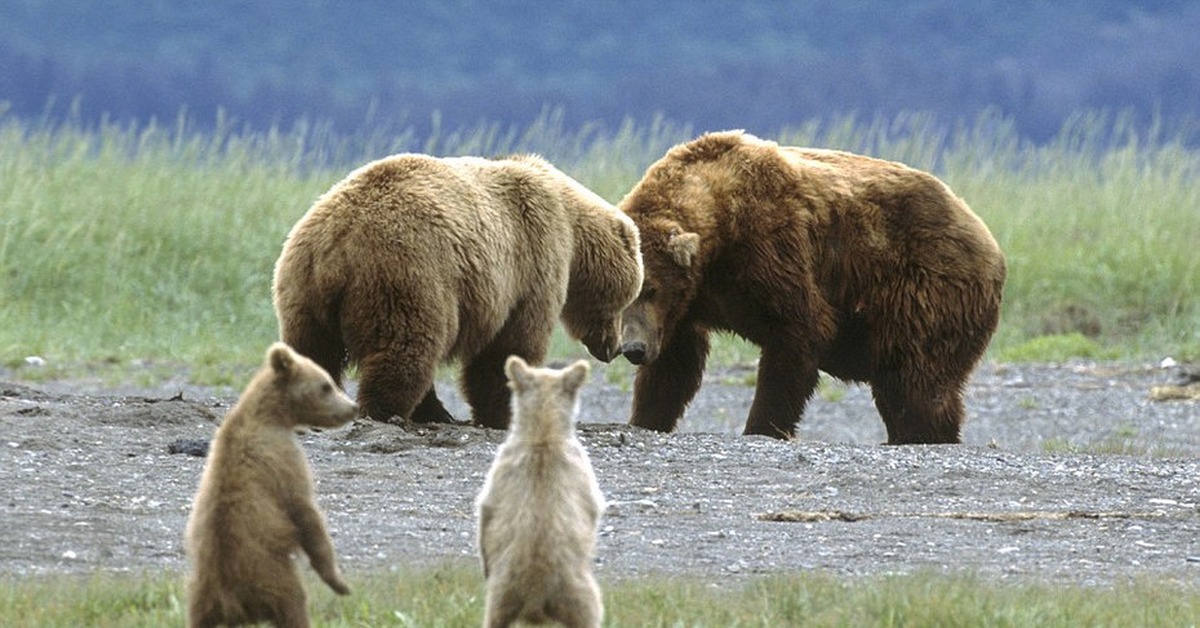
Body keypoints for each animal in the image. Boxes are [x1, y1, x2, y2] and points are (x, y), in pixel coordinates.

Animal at [184, 343, 355, 628]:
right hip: (273, 576)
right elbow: (305, 511)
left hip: (200, 594)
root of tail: (228, 600)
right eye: (326, 385)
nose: (353, 407)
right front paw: (339, 582)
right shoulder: (282, 456)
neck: (270, 416)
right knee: (295, 605)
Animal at [273, 153, 643, 429]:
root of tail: (337, 240)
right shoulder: (533, 260)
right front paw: (503, 412)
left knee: (311, 348)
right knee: (407, 344)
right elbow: (509, 346)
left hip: (300, 288)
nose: (617, 348)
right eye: (628, 300)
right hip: (408, 273)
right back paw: (389, 411)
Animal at [475, 355, 604, 628]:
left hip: (501, 596)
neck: (543, 433)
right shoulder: (582, 470)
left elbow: (487, 511)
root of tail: (536, 593)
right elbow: (593, 506)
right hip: (580, 594)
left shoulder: (501, 471)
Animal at [619, 130, 1003, 444]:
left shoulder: (770, 248)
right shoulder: (688, 304)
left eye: (651, 289)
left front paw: (762, 425)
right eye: (624, 297)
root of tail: (989, 241)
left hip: (926, 285)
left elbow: (799, 332)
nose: (633, 348)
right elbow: (674, 365)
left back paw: (921, 433)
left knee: (914, 378)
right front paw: (646, 418)